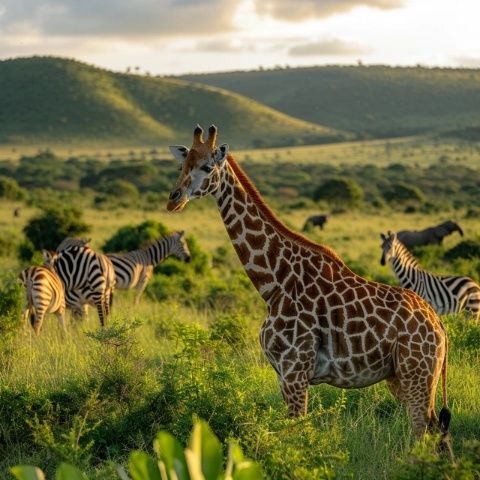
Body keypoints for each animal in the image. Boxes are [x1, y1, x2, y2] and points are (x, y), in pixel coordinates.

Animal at [165, 124, 450, 450]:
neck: (273, 284)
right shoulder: (283, 375)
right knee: (439, 434)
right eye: (182, 165)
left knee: (424, 432)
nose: (173, 199)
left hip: (417, 374)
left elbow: (296, 436)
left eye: (207, 167)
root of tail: (440, 325)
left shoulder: (295, 370)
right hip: (401, 377)